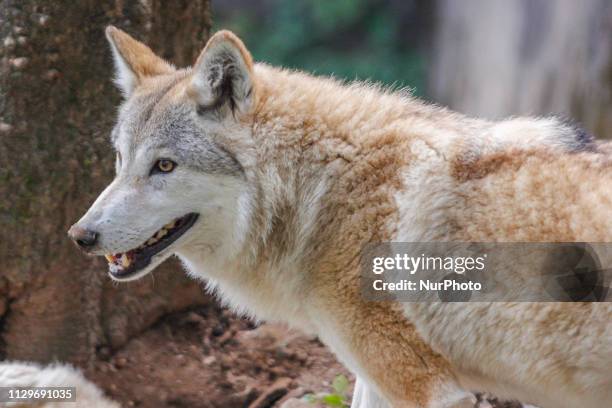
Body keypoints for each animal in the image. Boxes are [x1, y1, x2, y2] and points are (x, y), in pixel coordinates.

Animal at [64, 27, 608, 406]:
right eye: (120, 160)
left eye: (164, 166)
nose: (79, 236)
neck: (321, 193)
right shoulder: (374, 378)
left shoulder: (420, 385)